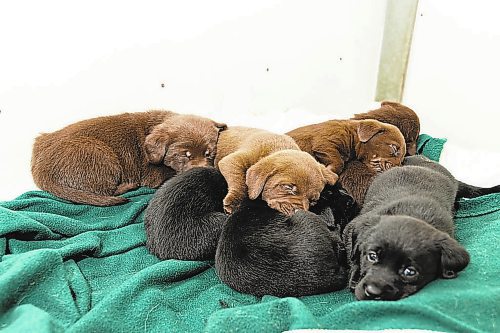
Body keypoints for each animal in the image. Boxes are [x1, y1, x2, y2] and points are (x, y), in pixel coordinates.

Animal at [31, 111, 227, 205]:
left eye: (209, 153)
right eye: (185, 155)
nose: (202, 171)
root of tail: (40, 169)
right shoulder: (152, 174)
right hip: (100, 153)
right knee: (105, 191)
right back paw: (128, 185)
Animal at [342, 154, 470, 300]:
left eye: (410, 272)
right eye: (372, 256)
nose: (373, 292)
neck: (411, 213)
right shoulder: (352, 227)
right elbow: (352, 253)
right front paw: (355, 275)